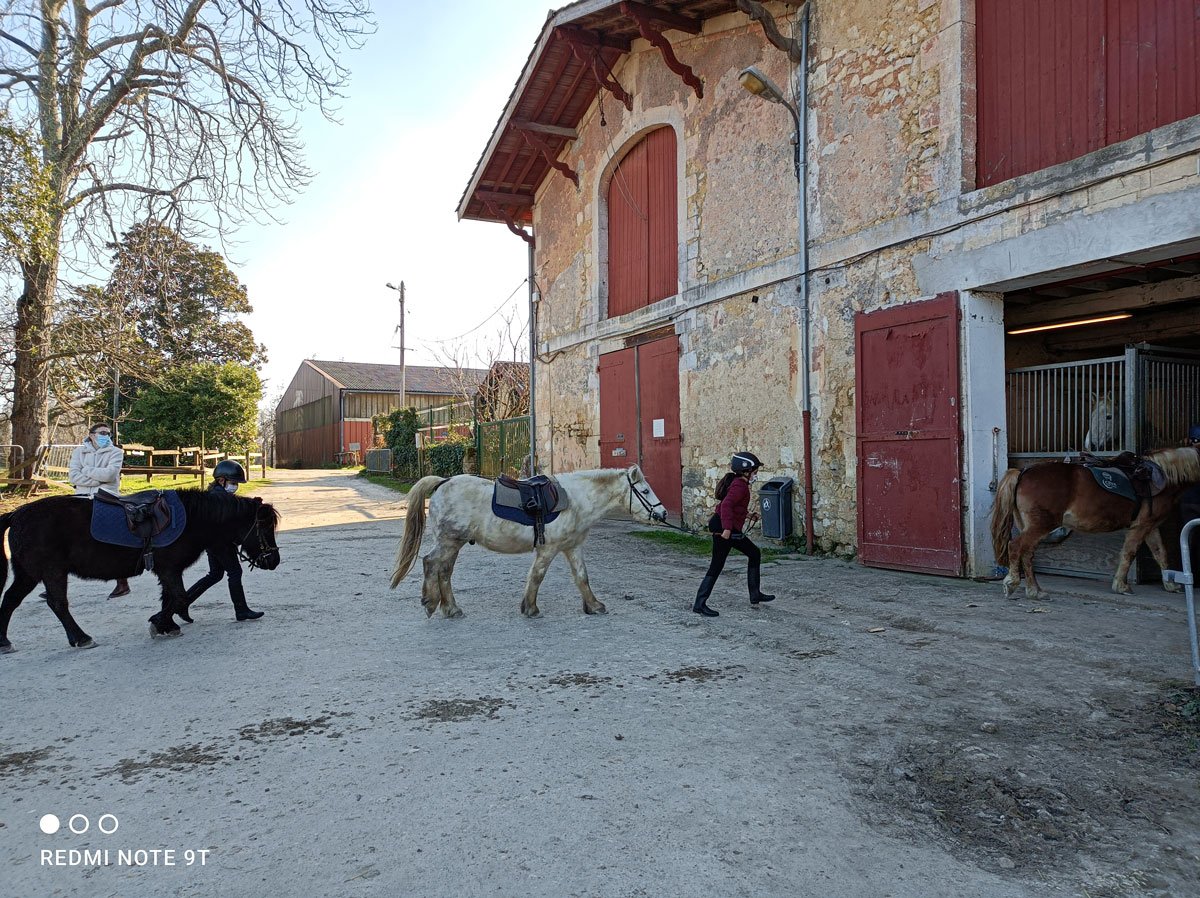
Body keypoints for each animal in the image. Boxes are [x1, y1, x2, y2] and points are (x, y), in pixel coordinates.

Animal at [391, 463, 667, 619]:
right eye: (644, 491)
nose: (663, 514)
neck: (575, 499)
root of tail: (443, 482)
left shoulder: (572, 547)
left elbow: (582, 577)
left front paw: (594, 606)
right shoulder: (549, 549)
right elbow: (537, 576)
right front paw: (531, 609)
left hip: (454, 543)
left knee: (444, 571)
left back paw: (451, 609)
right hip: (449, 541)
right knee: (431, 563)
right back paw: (431, 603)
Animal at [988, 446, 1200, 600]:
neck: (1162, 477)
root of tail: (1023, 472)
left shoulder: (1151, 527)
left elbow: (1160, 553)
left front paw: (1171, 585)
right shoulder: (1141, 526)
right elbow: (1129, 553)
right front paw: (1121, 586)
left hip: (1030, 525)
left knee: (1027, 554)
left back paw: (1035, 591)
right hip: (1041, 525)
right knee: (1016, 547)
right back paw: (1012, 583)